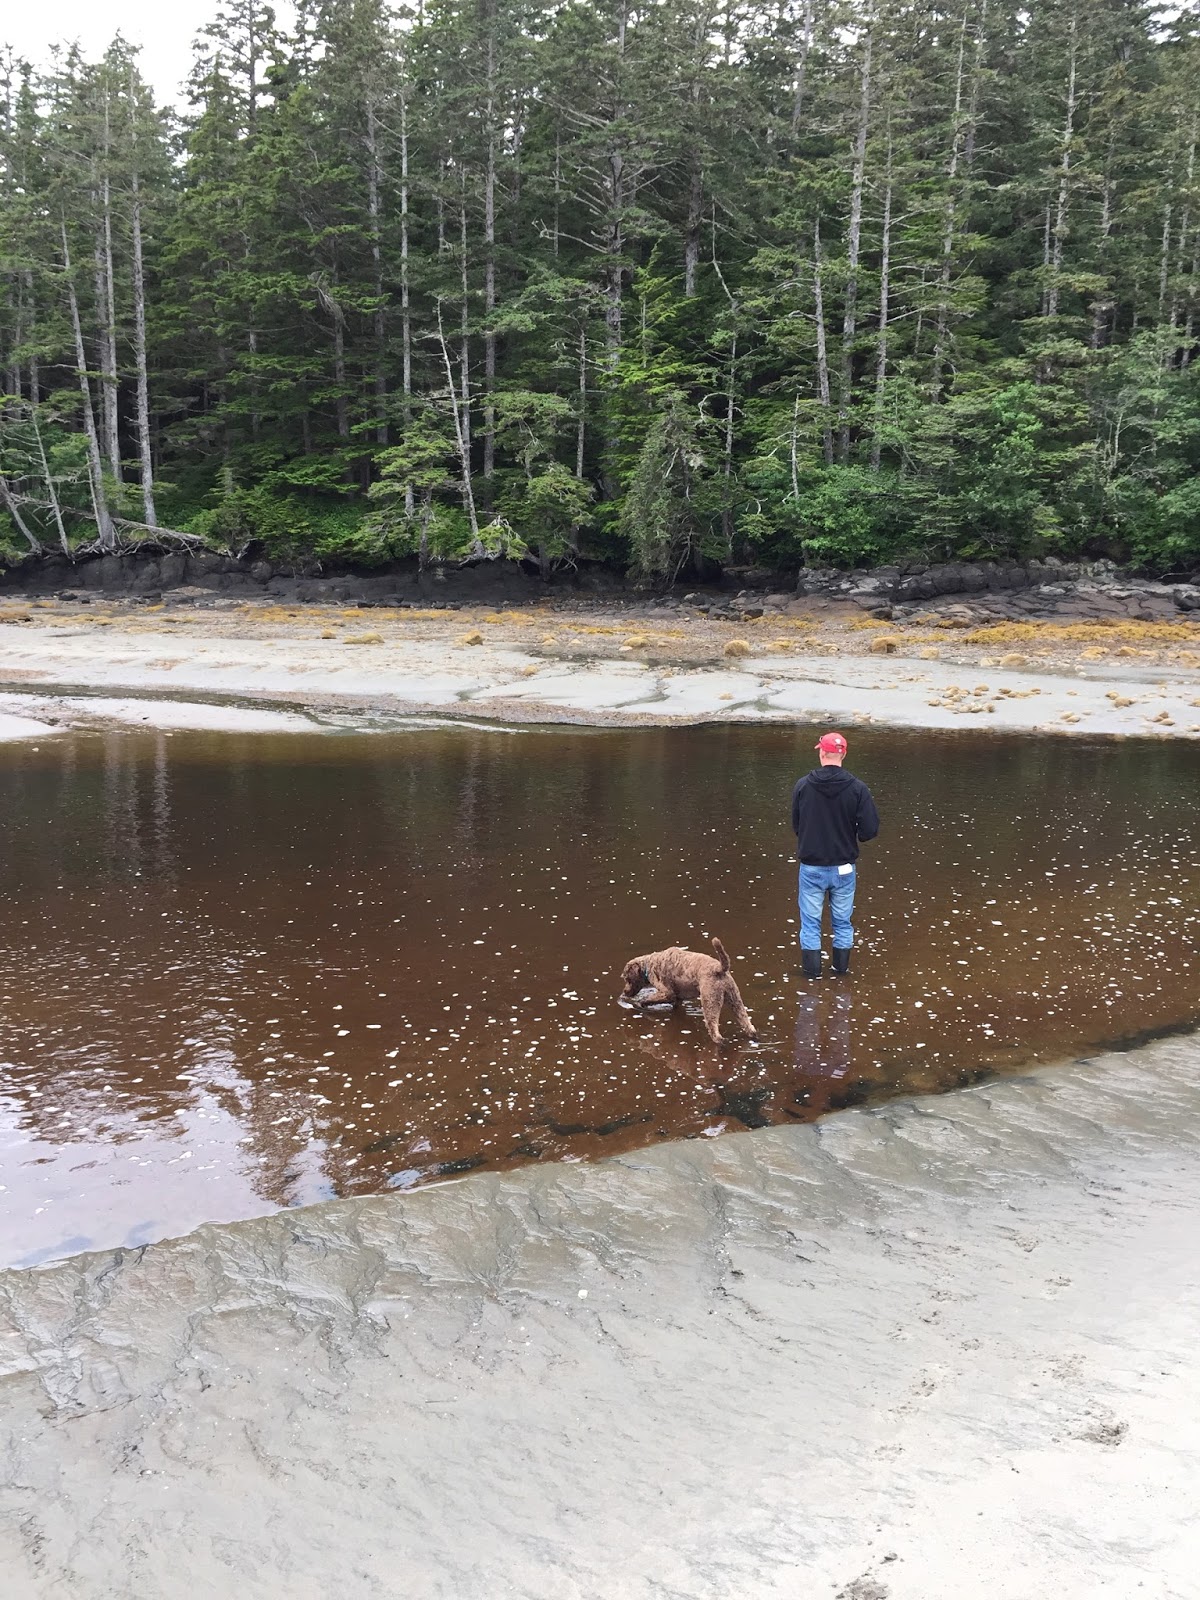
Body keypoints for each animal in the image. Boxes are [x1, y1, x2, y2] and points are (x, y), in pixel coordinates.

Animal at [620, 937, 756, 1045]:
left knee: (715, 1032)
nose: (624, 992)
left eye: (627, 979)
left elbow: (647, 999)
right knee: (748, 1026)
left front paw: (640, 1004)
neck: (648, 966)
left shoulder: (667, 993)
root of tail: (719, 968)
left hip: (710, 1000)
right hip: (735, 998)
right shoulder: (678, 998)